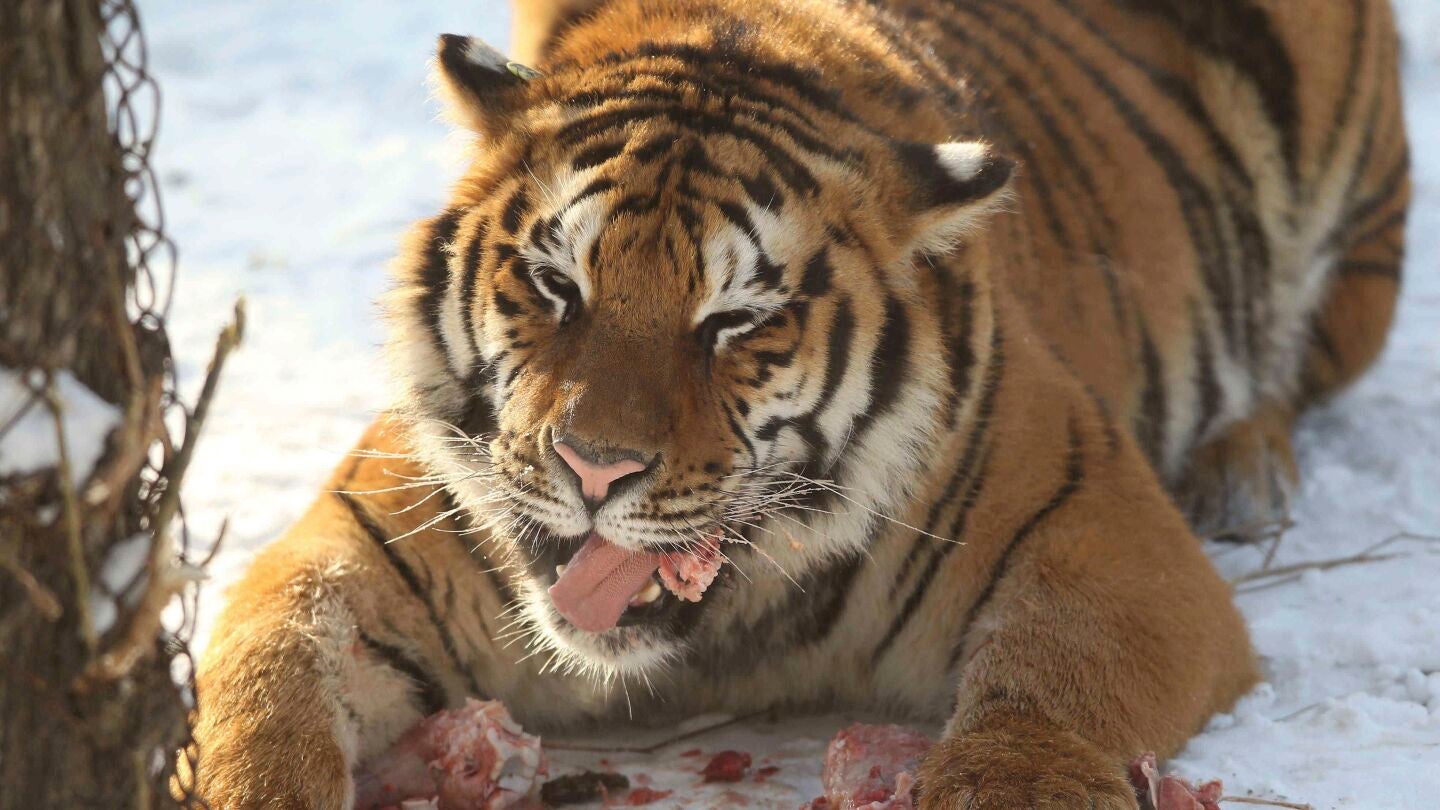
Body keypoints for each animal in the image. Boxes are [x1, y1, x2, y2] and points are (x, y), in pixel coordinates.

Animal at [183, 0, 1409, 807]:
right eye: (555, 283)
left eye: (735, 321)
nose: (592, 468)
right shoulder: (365, 540)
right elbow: (268, 686)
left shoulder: (1103, 541)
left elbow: (1044, 697)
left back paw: (1245, 468)